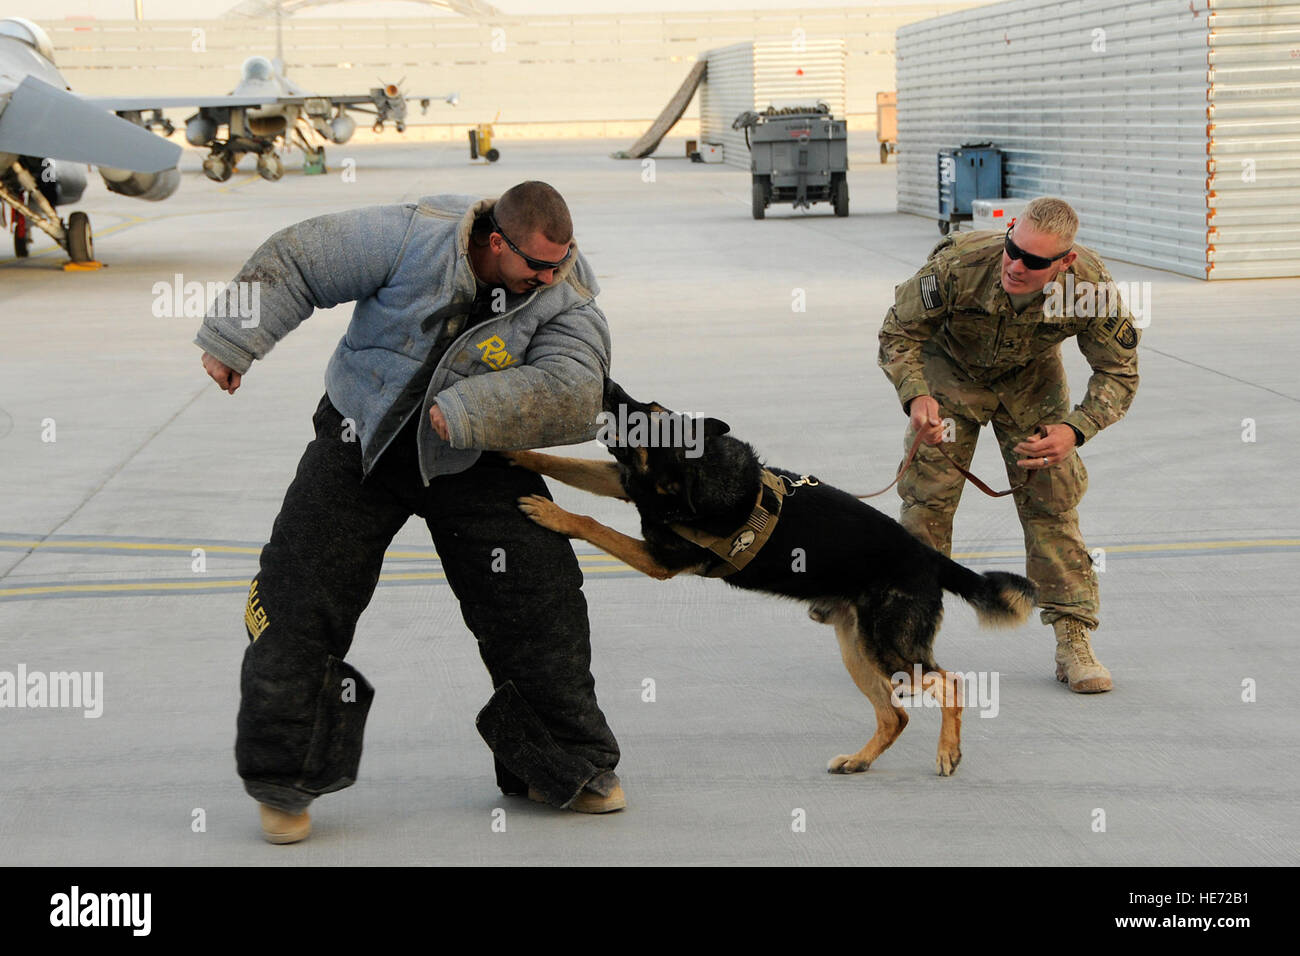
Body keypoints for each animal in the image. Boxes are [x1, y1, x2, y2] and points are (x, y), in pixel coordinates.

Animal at [506, 382, 1034, 780]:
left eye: (647, 417)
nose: (609, 383)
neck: (702, 471)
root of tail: (929, 557)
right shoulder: (623, 483)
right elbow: (563, 464)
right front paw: (514, 449)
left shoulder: (657, 559)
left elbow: (592, 523)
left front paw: (553, 513)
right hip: (857, 650)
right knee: (896, 714)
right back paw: (859, 760)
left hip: (888, 647)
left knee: (951, 684)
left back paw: (948, 753)